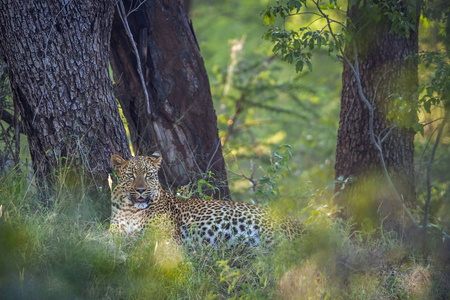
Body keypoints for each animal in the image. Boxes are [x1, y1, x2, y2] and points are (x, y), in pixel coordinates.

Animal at [110, 154, 304, 247]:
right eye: (131, 175)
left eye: (148, 175)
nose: (141, 190)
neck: (132, 209)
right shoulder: (115, 231)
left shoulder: (167, 237)